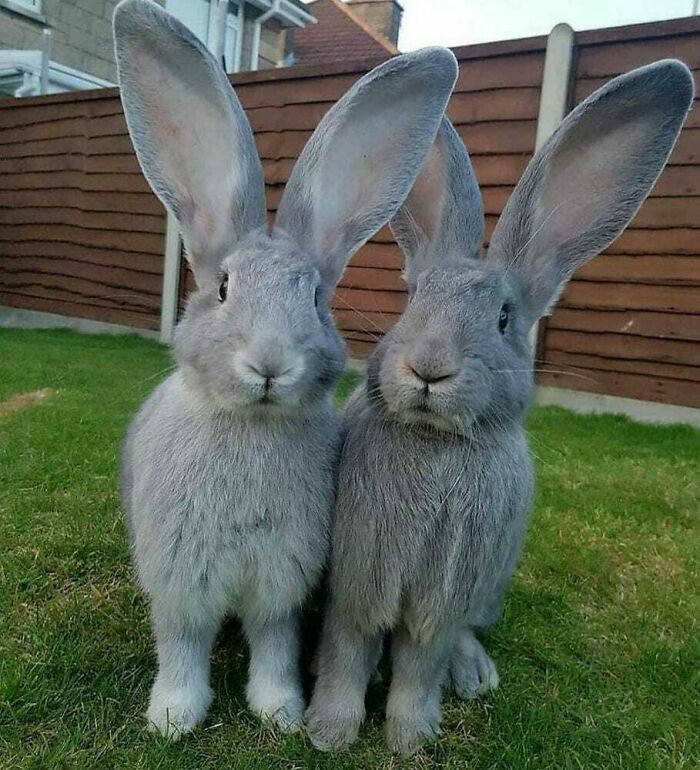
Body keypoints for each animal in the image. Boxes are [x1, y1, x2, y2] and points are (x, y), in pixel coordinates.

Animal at [112, 0, 458, 739]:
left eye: (316, 297)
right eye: (221, 289)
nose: (269, 364)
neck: (254, 423)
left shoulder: (281, 581)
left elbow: (272, 645)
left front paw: (281, 713)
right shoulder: (180, 583)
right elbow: (181, 646)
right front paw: (173, 719)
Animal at [305, 59, 694, 755]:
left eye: (505, 318)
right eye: (413, 300)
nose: (429, 367)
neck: (435, 441)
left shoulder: (442, 599)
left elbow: (420, 664)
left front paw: (410, 737)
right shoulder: (360, 584)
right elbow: (350, 653)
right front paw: (329, 731)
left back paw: (475, 674)